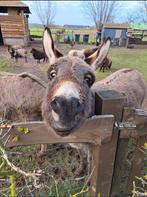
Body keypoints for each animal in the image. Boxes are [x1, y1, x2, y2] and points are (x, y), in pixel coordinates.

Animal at [41, 26, 147, 176]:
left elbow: (92, 166)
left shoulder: (95, 146)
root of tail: (134, 70)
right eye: (52, 74)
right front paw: (79, 171)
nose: (65, 109)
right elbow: (82, 157)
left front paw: (88, 178)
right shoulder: (80, 145)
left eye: (88, 79)